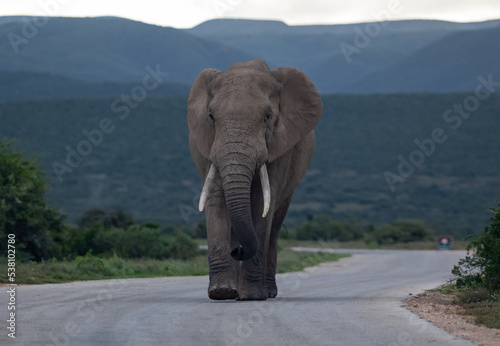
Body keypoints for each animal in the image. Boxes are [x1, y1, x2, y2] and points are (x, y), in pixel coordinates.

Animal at [187, 59, 320, 300]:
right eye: (211, 116)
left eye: (267, 117)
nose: (237, 251)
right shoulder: (209, 146)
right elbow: (216, 199)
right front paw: (221, 292)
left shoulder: (280, 147)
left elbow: (262, 205)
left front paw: (252, 296)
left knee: (274, 225)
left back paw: (268, 292)